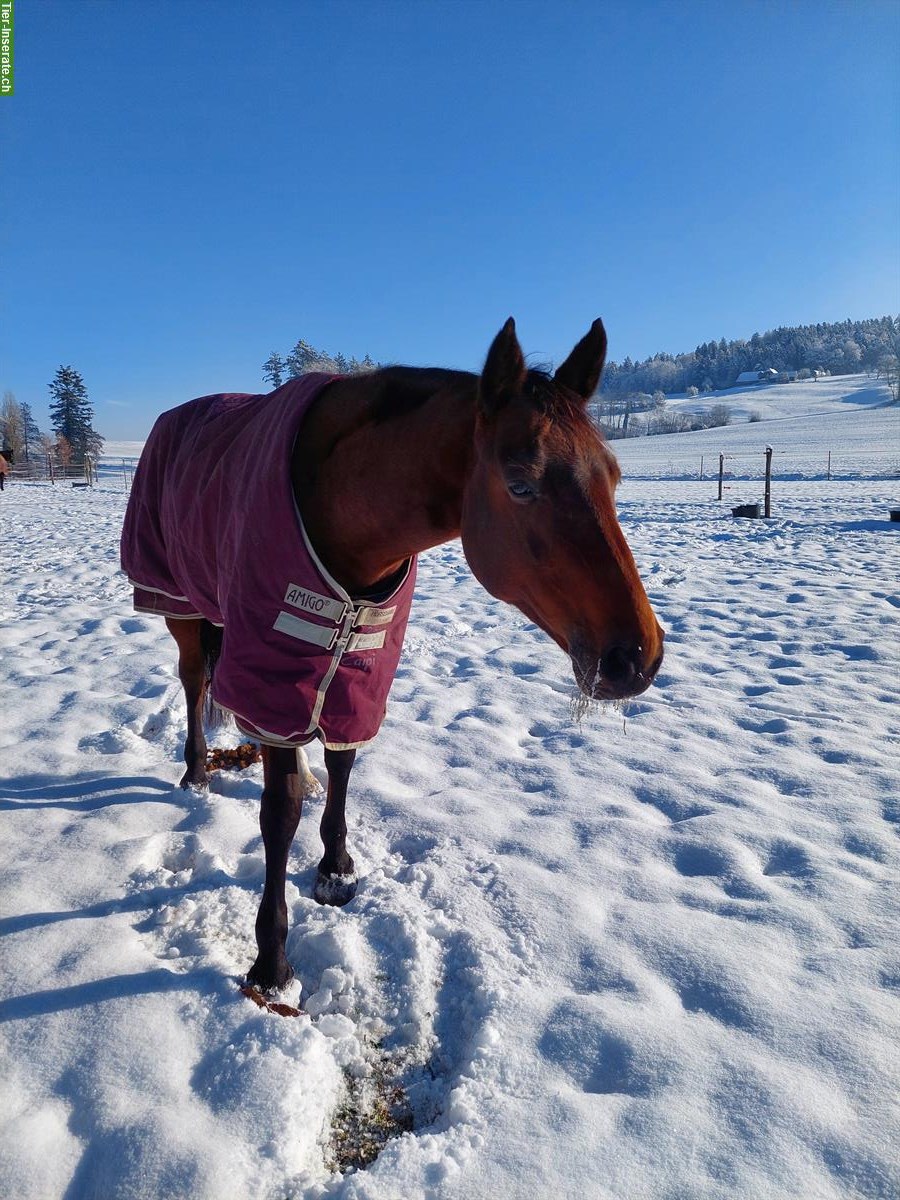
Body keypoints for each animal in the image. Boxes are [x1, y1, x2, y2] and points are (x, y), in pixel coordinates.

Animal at [121, 319, 662, 993]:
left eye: (613, 476)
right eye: (520, 484)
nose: (637, 658)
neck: (337, 502)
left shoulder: (361, 666)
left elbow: (343, 764)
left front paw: (335, 869)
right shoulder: (276, 668)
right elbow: (281, 811)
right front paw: (272, 963)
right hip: (179, 606)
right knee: (196, 683)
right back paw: (196, 771)